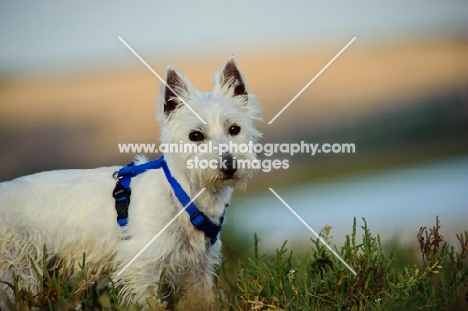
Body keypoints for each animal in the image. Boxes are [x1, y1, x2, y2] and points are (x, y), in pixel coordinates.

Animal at [0, 56, 262, 310]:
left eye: (234, 129)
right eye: (195, 135)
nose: (229, 165)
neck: (183, 195)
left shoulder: (197, 268)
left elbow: (202, 299)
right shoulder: (141, 265)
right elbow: (148, 301)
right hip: (18, 263)